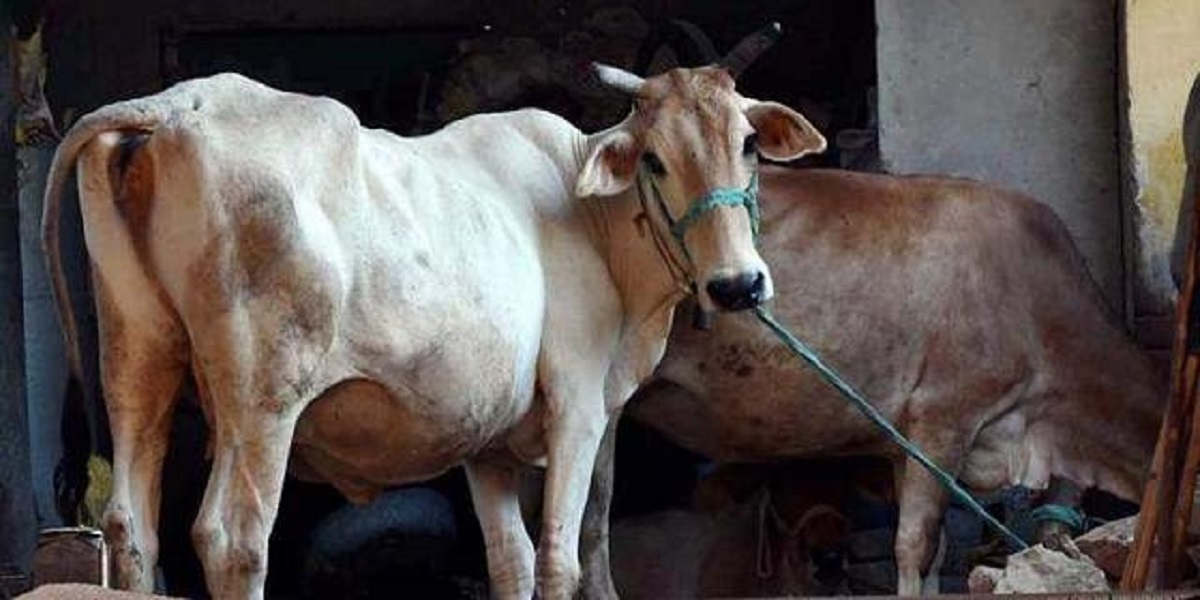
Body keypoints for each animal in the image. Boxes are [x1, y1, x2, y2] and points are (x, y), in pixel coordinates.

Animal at [41, 40, 825, 600]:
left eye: (748, 144)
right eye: (655, 160)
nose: (738, 285)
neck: (593, 220)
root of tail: (177, 105)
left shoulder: (489, 442)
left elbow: (511, 563)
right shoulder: (578, 406)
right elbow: (562, 562)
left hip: (137, 358)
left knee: (131, 528)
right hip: (262, 398)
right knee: (233, 540)